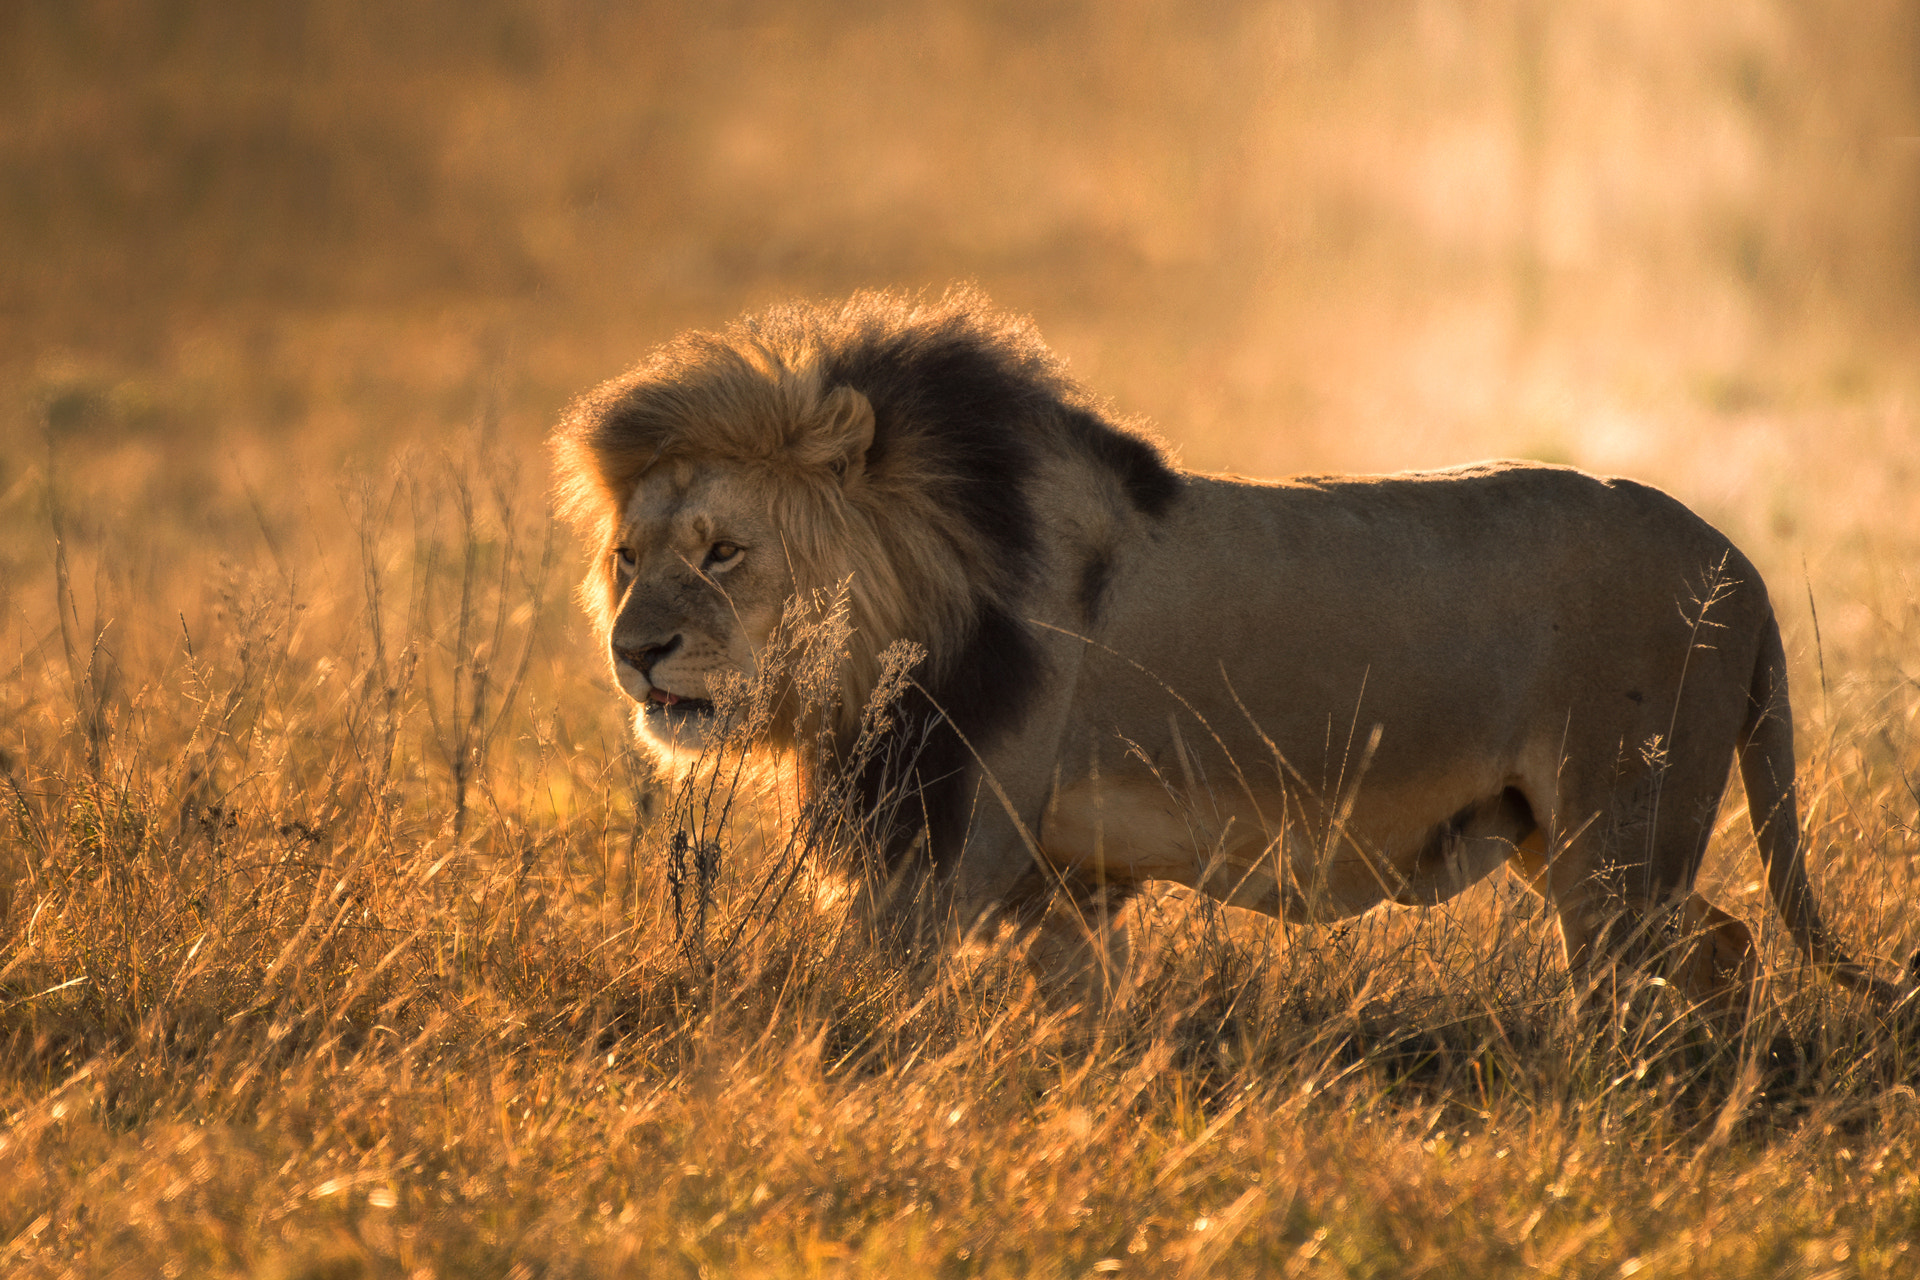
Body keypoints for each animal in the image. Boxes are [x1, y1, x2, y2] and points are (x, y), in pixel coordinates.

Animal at [549, 289, 1896, 1020]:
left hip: (1617, 842)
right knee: (1722, 949)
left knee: (1669, 967)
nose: (636, 650)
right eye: (629, 554)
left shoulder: (938, 864)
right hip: (1571, 845)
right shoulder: (1060, 890)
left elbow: (870, 1021)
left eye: (725, 552)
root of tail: (1739, 560)